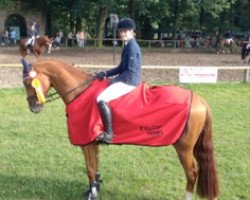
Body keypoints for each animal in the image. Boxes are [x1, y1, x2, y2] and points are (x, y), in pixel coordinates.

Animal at [22, 58, 219, 199]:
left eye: (29, 83)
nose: (33, 108)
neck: (80, 92)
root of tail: (198, 99)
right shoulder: (92, 142)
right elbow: (95, 166)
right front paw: (94, 189)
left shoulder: (86, 142)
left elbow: (90, 169)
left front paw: (93, 195)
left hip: (184, 148)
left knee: (192, 173)